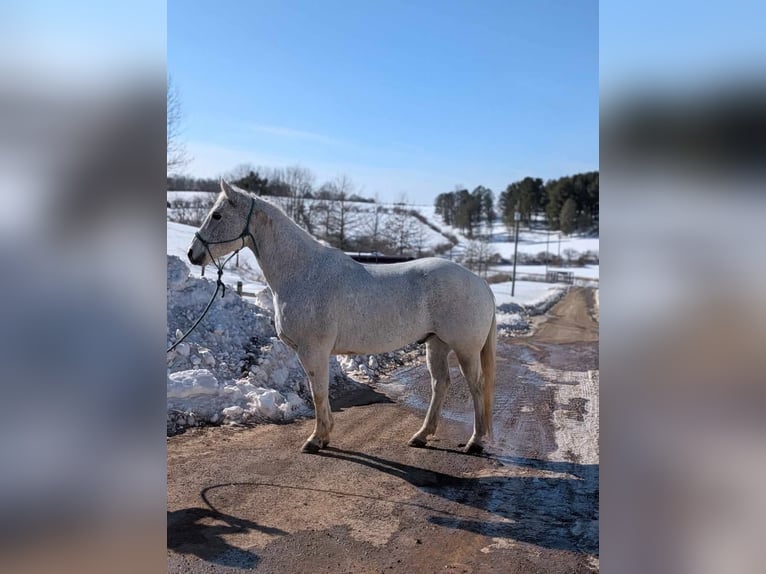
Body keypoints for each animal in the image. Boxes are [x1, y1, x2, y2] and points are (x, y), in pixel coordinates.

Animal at [188, 180, 497, 455]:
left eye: (217, 215)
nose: (193, 254)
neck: (303, 271)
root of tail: (480, 283)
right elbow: (320, 392)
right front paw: (324, 436)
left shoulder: (313, 350)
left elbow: (318, 393)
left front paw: (316, 439)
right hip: (436, 344)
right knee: (440, 385)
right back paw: (421, 436)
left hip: (466, 349)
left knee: (477, 386)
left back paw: (474, 442)